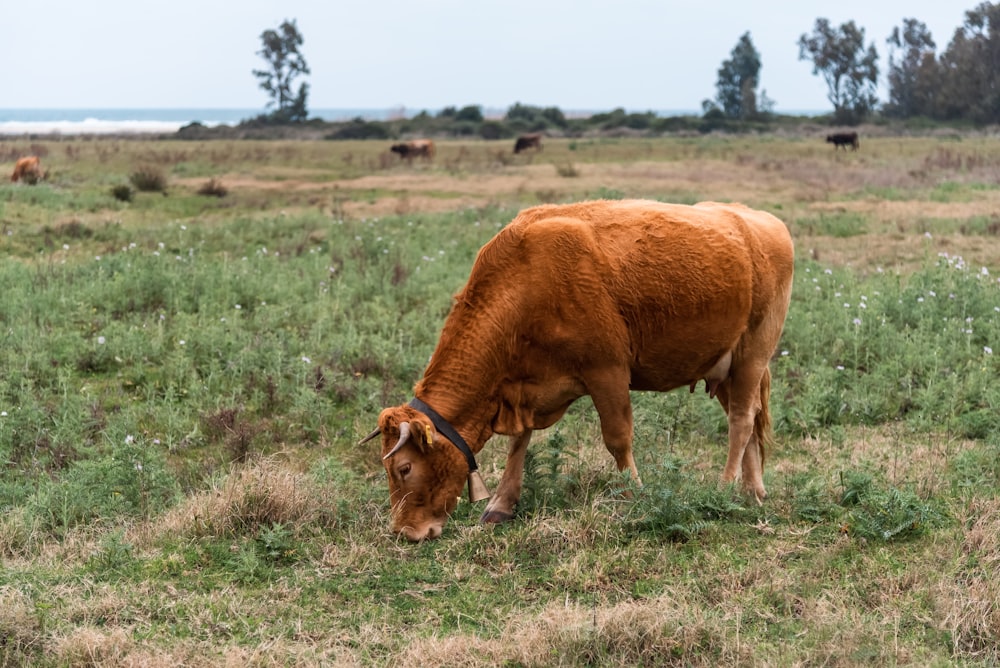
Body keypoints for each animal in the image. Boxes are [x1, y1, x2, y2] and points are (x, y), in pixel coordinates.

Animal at [362, 200, 796, 544]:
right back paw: (752, 490)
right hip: (723, 367)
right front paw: (501, 504)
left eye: (404, 468)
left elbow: (617, 439)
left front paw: (634, 496)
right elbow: (519, 442)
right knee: (750, 420)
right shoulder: (524, 388)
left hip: (754, 353)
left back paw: (724, 488)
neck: (524, 282)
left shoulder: (607, 372)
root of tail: (757, 219)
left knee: (741, 420)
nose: (405, 531)